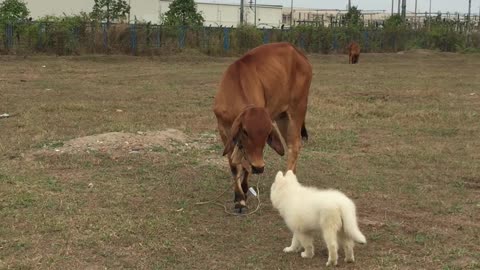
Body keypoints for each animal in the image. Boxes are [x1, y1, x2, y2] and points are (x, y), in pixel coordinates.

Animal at [213, 42, 312, 212]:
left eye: (267, 135)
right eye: (245, 131)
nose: (259, 168)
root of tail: (299, 54)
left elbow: (245, 163)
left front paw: (242, 195)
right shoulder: (224, 130)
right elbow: (236, 164)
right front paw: (240, 196)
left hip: (297, 109)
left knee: (294, 145)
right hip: (282, 116)